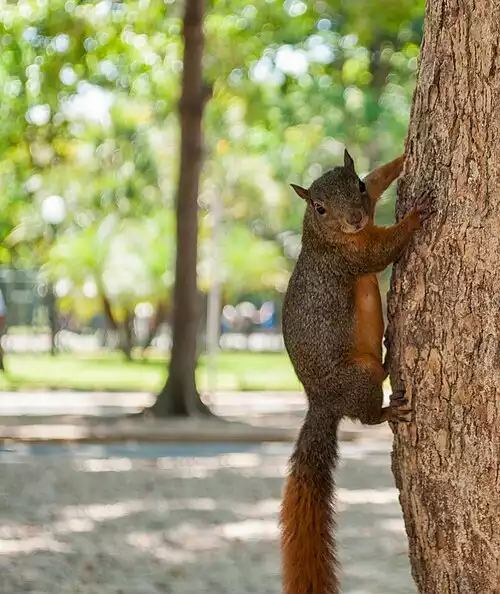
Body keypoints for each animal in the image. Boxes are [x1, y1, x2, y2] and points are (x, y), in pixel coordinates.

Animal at [282, 150, 434, 588]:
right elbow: (383, 251)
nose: (354, 218)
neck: (323, 235)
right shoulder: (350, 258)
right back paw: (388, 409)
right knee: (365, 415)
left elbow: (381, 178)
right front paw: (415, 217)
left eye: (358, 186)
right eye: (319, 207)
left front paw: (400, 159)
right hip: (358, 380)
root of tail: (322, 403)